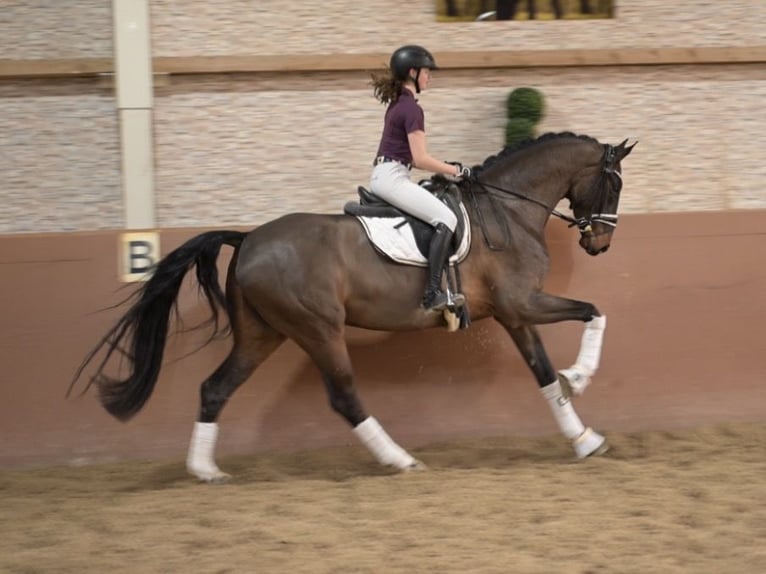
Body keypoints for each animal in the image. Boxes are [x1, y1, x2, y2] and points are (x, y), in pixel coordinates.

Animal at [70, 131, 635, 483]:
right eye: (615, 183)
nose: (601, 243)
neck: (509, 209)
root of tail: (248, 238)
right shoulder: (524, 303)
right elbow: (594, 311)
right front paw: (581, 376)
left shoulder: (515, 313)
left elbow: (543, 373)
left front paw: (584, 439)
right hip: (318, 330)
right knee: (344, 397)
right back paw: (401, 460)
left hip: (262, 333)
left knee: (215, 388)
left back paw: (206, 471)